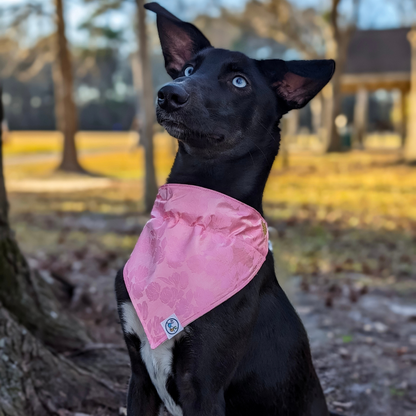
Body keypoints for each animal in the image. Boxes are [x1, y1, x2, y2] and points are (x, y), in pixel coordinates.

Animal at [115, 2, 336, 412]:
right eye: (188, 70)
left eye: (239, 82)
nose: (168, 94)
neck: (195, 217)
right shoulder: (139, 375)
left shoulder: (203, 386)